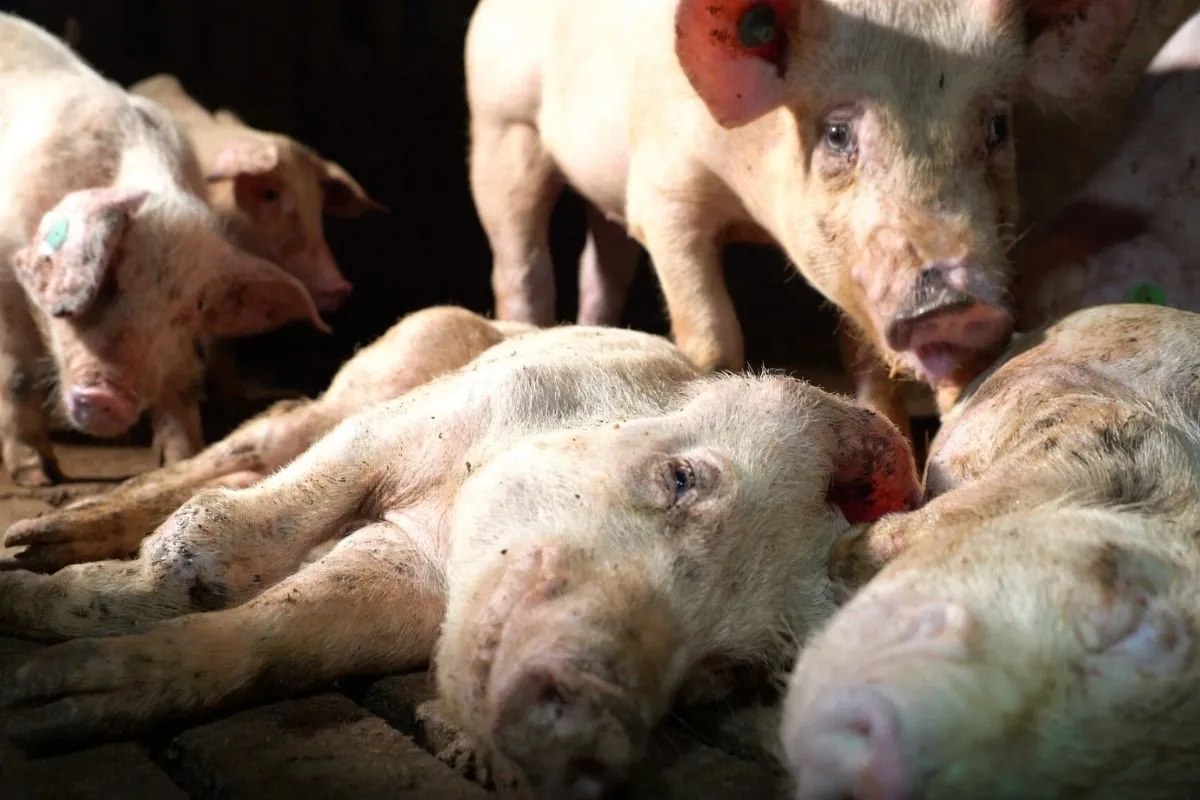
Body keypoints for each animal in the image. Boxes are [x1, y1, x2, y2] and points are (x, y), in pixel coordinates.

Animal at [0, 13, 326, 487]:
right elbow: (18, 373)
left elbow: (181, 380)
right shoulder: (5, 271)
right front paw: (38, 477)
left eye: (192, 307)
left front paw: (180, 459)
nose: (109, 398)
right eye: (108, 280)